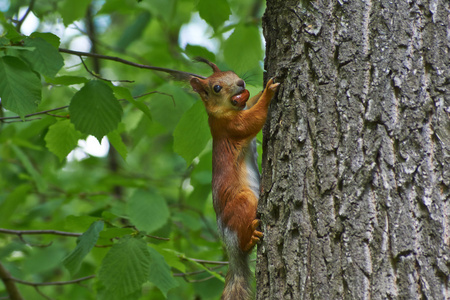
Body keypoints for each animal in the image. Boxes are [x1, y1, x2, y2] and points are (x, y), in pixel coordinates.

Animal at [189, 59, 280, 300]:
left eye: (231, 72)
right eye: (216, 88)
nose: (241, 83)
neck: (223, 112)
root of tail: (228, 244)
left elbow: (252, 104)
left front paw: (260, 92)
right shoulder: (231, 127)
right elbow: (252, 121)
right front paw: (269, 91)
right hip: (243, 202)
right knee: (244, 243)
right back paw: (252, 236)